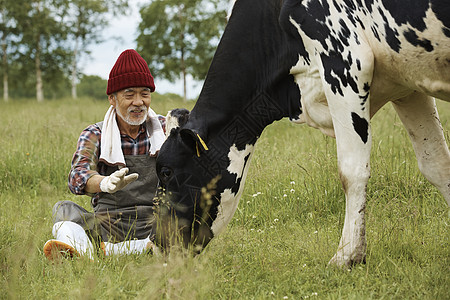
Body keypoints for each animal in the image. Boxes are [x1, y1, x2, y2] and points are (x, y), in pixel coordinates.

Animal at [153, 0, 448, 268]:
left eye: (165, 171)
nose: (156, 243)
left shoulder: (345, 62)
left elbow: (351, 171)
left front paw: (347, 256)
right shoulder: (406, 83)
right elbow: (436, 164)